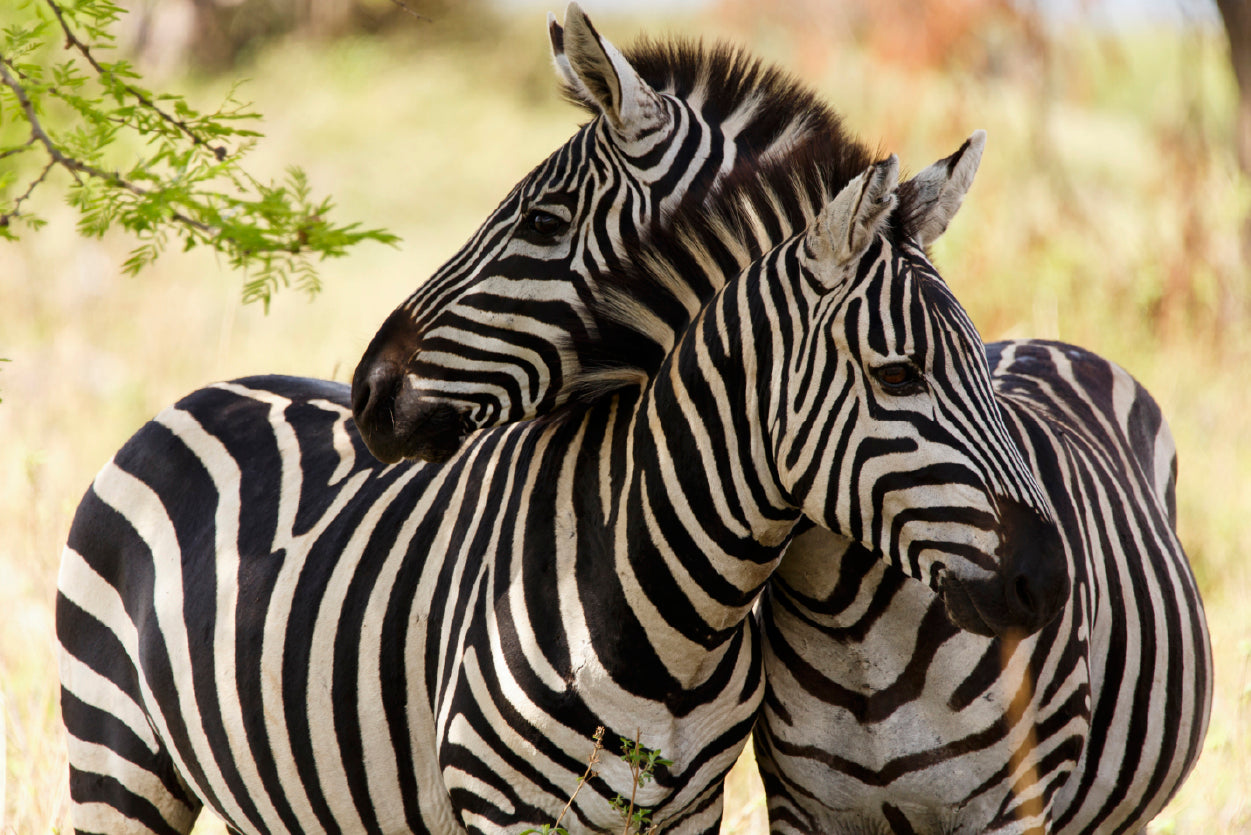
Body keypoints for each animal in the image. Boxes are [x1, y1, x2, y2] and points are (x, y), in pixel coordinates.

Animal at [56, 140, 1065, 831]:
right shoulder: (506, 813)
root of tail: (197, 394)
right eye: (898, 375)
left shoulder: (686, 813)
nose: (1047, 579)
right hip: (115, 761)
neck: (671, 616)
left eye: (984, 368)